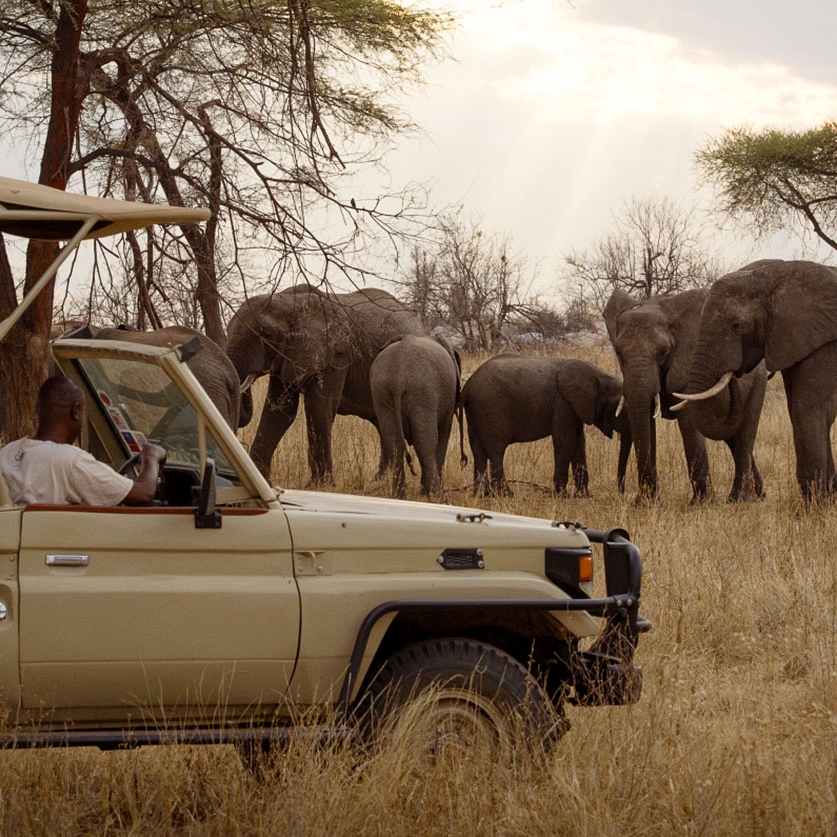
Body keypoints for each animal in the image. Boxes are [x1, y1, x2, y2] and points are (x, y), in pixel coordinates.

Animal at [227, 284, 424, 480]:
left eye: (266, 334)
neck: (290, 301)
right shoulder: (288, 355)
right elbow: (278, 412)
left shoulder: (337, 355)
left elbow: (319, 408)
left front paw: (319, 484)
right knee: (383, 423)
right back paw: (379, 480)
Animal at [370, 334, 460, 496]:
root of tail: (398, 377)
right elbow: (444, 433)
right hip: (423, 392)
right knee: (426, 443)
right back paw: (436, 495)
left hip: (381, 391)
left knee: (393, 442)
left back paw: (400, 495)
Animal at [460, 354, 632, 496]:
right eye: (621, 413)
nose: (621, 494)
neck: (600, 376)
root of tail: (467, 386)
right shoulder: (563, 403)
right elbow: (565, 441)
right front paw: (562, 495)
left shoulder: (574, 406)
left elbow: (579, 442)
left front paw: (584, 496)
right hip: (491, 407)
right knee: (496, 450)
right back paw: (506, 494)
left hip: (475, 410)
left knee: (478, 449)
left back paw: (482, 494)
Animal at [604, 286, 768, 502]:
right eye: (619, 353)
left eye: (663, 352)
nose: (639, 499)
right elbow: (646, 420)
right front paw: (650, 502)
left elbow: (689, 425)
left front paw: (701, 503)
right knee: (733, 437)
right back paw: (759, 495)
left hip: (758, 383)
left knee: (744, 437)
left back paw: (740, 499)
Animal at [672, 258, 836, 500]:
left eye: (736, 326)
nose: (735, 373)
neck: (776, 275)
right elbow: (807, 410)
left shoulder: (823, 342)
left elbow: (805, 407)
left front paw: (816, 506)